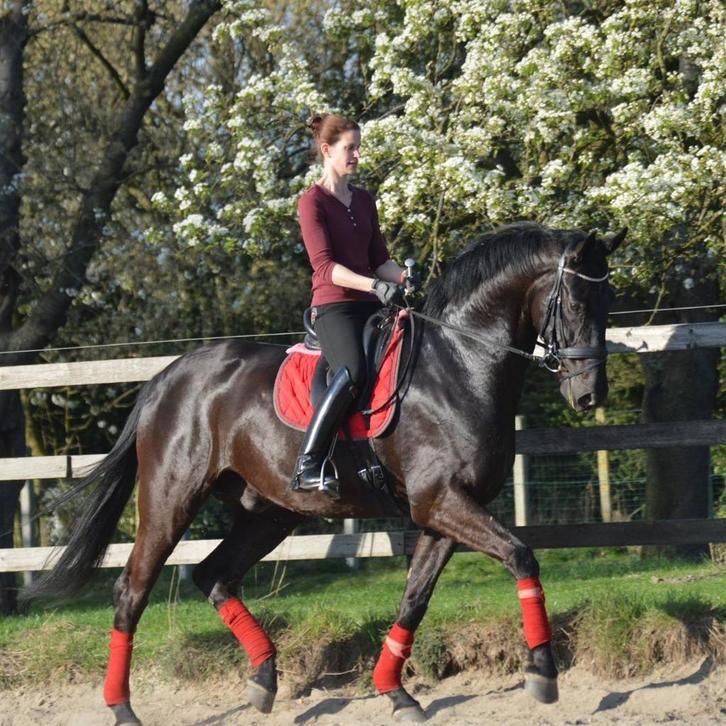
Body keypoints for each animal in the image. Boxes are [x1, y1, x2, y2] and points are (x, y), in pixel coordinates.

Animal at [24, 221, 625, 725]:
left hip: (268, 514)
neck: (459, 366)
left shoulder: (443, 513)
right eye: (576, 301)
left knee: (214, 575)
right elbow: (521, 556)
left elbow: (415, 598)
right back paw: (123, 708)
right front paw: (542, 672)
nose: (590, 395)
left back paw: (264, 679)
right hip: (170, 502)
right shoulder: (441, 502)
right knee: (132, 590)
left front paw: (397, 692)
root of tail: (166, 378)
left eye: (610, 300)